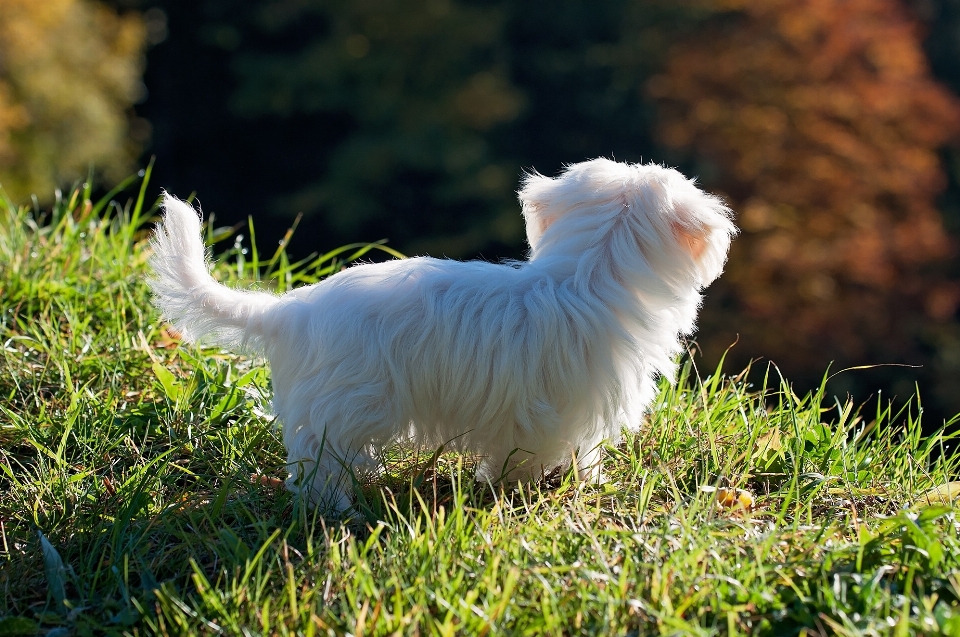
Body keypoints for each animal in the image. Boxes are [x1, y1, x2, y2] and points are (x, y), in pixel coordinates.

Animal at [150, 159, 736, 512]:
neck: (586, 274)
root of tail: (294, 310)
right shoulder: (561, 411)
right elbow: (549, 455)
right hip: (342, 411)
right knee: (320, 467)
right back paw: (338, 510)